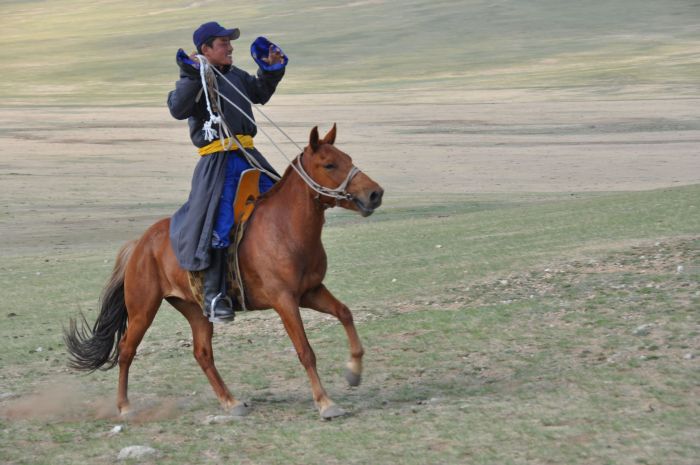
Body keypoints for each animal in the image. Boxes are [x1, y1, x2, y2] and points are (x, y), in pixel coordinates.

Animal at [65, 123, 382, 416]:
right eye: (329, 164)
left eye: (347, 158)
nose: (375, 194)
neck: (286, 229)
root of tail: (140, 244)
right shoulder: (285, 300)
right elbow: (305, 351)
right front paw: (325, 402)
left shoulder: (311, 292)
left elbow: (345, 313)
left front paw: (353, 371)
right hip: (143, 309)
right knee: (127, 350)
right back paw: (125, 406)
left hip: (195, 310)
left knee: (202, 353)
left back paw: (231, 402)